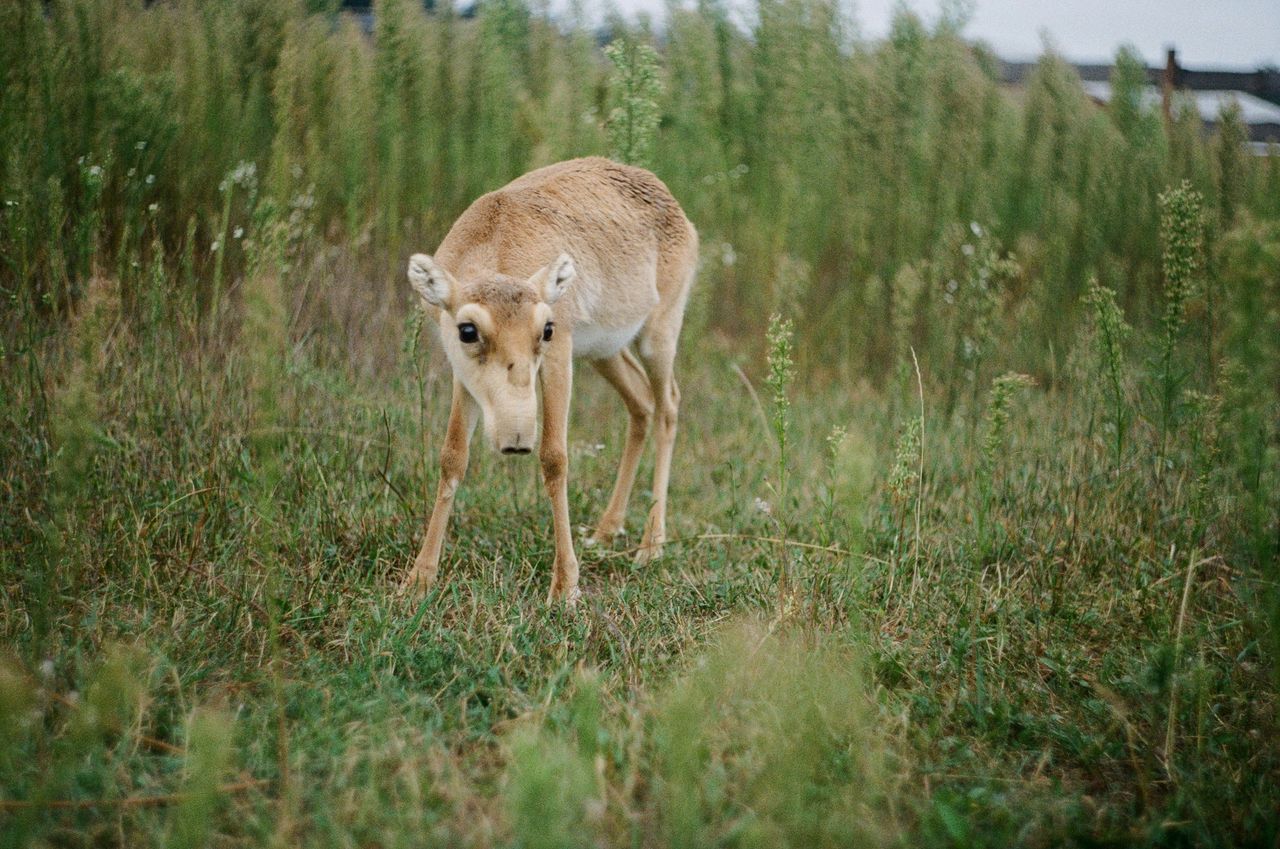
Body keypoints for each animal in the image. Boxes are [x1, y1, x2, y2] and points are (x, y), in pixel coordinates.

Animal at [401, 157, 696, 604]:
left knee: (668, 407)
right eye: (467, 330)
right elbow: (452, 457)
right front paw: (418, 579)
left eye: (547, 329)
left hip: (658, 335)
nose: (516, 438)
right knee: (641, 404)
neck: (495, 240)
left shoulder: (559, 357)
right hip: (605, 351)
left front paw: (565, 587)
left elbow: (555, 457)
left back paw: (650, 546)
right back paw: (605, 532)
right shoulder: (462, 375)